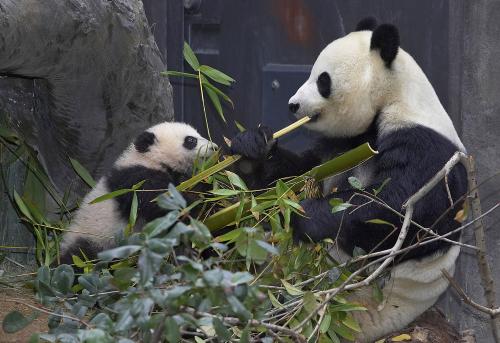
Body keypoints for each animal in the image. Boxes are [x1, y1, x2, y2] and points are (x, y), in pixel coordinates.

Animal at [59, 123, 216, 266]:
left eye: (199, 134)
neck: (149, 159)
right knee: (78, 259)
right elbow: (164, 206)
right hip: (94, 238)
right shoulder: (137, 181)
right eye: (190, 140)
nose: (214, 147)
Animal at [230, 18, 468, 343]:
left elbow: (394, 210)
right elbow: (297, 174)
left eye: (323, 80)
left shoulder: (426, 149)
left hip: (347, 304)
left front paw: (306, 214)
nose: (293, 104)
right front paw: (252, 149)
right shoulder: (342, 145)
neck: (393, 97)